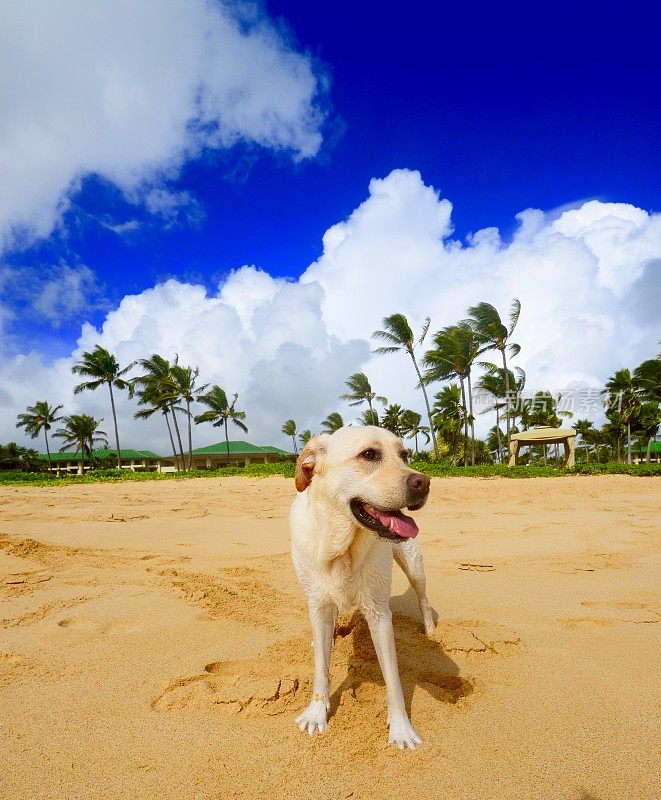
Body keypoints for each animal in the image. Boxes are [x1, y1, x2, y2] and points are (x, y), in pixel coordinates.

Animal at [288, 428, 434, 748]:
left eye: (405, 455)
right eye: (369, 454)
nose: (425, 482)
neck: (342, 547)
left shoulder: (379, 613)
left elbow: (393, 679)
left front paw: (401, 728)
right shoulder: (318, 605)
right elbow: (320, 669)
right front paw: (316, 713)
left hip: (414, 565)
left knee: (423, 597)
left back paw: (430, 629)